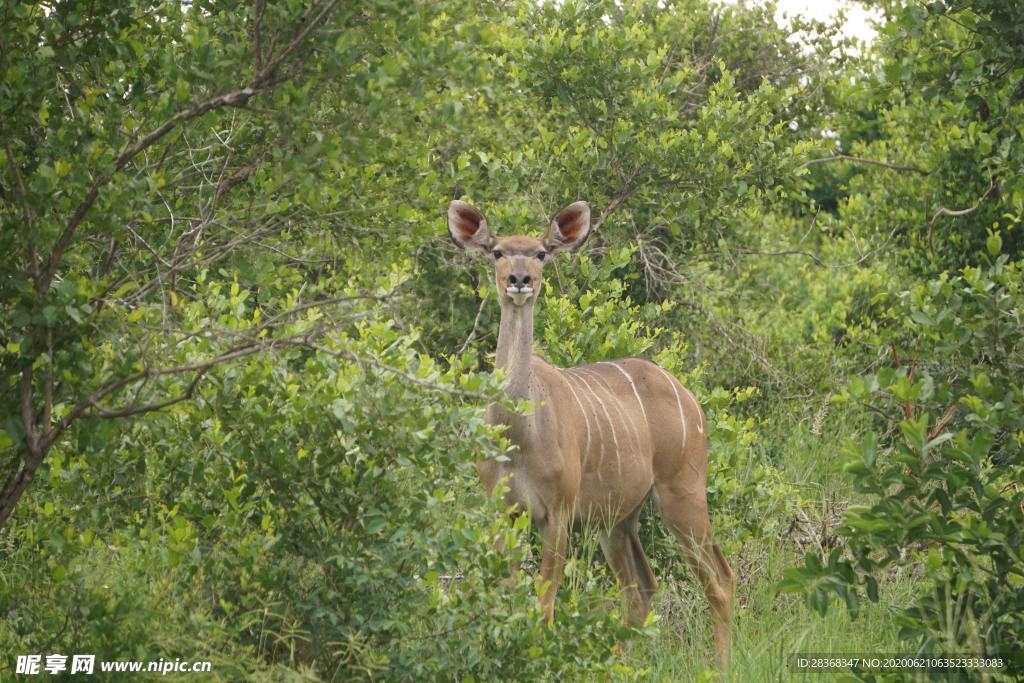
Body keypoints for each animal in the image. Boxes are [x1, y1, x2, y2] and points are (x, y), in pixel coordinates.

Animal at [448, 198, 737, 667]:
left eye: (541, 252)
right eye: (497, 251)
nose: (520, 280)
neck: (520, 433)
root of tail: (691, 398)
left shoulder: (559, 512)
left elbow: (544, 605)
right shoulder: (503, 511)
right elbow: (509, 601)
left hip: (683, 493)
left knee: (719, 578)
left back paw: (721, 665)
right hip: (619, 519)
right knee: (642, 587)